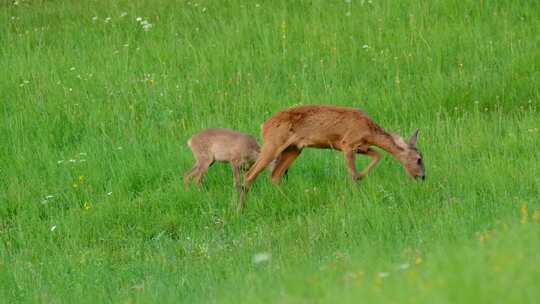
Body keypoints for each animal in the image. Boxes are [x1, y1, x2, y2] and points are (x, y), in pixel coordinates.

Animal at [238, 104, 424, 209]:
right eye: (419, 159)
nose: (423, 176)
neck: (368, 130)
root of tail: (264, 125)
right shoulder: (347, 144)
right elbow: (353, 174)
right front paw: (358, 194)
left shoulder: (360, 146)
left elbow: (378, 155)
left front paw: (362, 176)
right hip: (273, 143)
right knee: (250, 175)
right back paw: (241, 209)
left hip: (294, 149)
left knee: (275, 175)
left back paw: (288, 201)